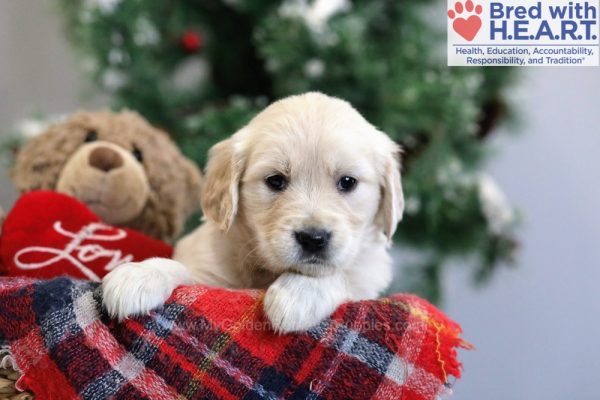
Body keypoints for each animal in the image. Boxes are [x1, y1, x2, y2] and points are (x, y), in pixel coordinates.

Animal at [102, 92, 404, 332]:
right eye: (275, 181)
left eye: (348, 182)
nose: (313, 239)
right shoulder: (210, 274)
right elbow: (182, 269)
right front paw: (138, 276)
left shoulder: (369, 275)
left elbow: (343, 274)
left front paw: (299, 294)